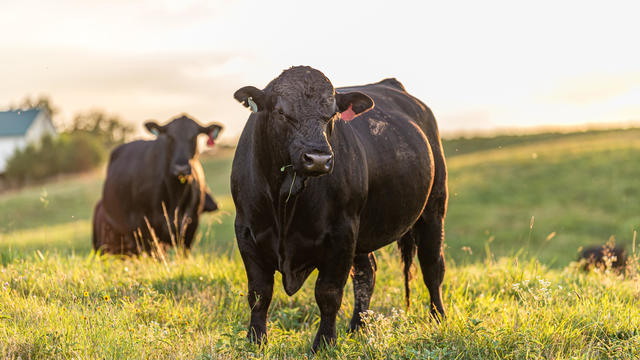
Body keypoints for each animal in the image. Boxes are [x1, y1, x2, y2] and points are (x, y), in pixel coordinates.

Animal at [92, 114, 222, 253]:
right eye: (170, 137)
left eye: (194, 136)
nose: (181, 168)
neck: (175, 195)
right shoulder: (144, 225)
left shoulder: (190, 226)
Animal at [232, 66, 448, 350]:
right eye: (281, 112)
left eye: (332, 114)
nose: (318, 158)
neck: (285, 201)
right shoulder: (246, 232)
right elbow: (259, 292)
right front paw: (255, 340)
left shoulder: (342, 233)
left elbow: (328, 293)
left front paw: (324, 343)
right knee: (367, 273)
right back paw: (357, 328)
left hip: (433, 209)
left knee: (432, 267)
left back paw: (438, 318)